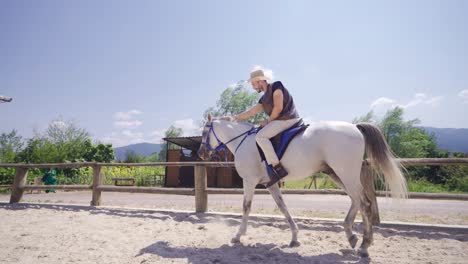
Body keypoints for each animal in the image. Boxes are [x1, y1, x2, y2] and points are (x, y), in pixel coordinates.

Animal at [196, 114, 408, 258]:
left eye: (205, 132)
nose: (201, 153)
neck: (243, 141)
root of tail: (355, 127)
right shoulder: (270, 184)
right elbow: (283, 207)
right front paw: (295, 238)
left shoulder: (249, 181)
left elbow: (246, 207)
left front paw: (238, 235)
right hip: (337, 174)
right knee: (358, 200)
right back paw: (353, 237)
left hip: (346, 174)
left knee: (363, 203)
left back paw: (364, 245)